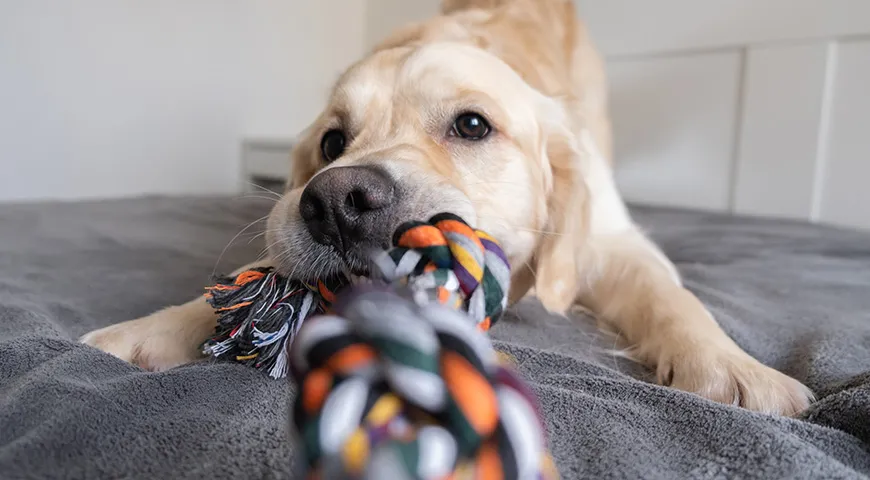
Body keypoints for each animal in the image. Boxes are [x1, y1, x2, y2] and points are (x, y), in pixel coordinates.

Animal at [78, 0, 816, 414]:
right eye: (332, 141)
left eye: (472, 125)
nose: (336, 203)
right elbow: (246, 281)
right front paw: (151, 329)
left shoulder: (611, 241)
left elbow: (671, 298)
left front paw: (731, 368)